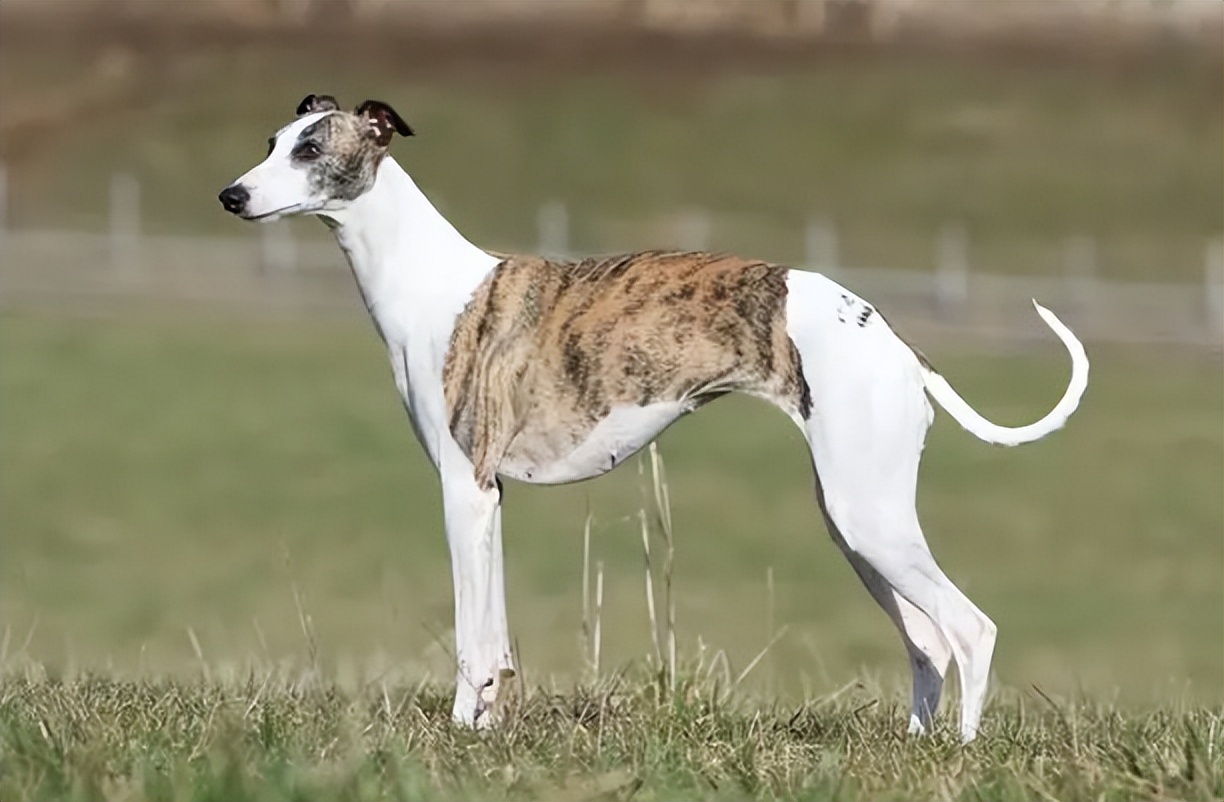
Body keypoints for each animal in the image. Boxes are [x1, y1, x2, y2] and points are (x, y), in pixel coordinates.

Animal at [220, 95, 1091, 744]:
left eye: (309, 149)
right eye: (271, 141)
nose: (231, 196)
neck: (429, 280)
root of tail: (899, 345)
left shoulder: (462, 488)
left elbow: (471, 636)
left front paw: (464, 731)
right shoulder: (490, 498)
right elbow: (494, 635)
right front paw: (487, 731)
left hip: (868, 517)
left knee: (970, 629)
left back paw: (962, 752)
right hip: (857, 520)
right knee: (926, 641)